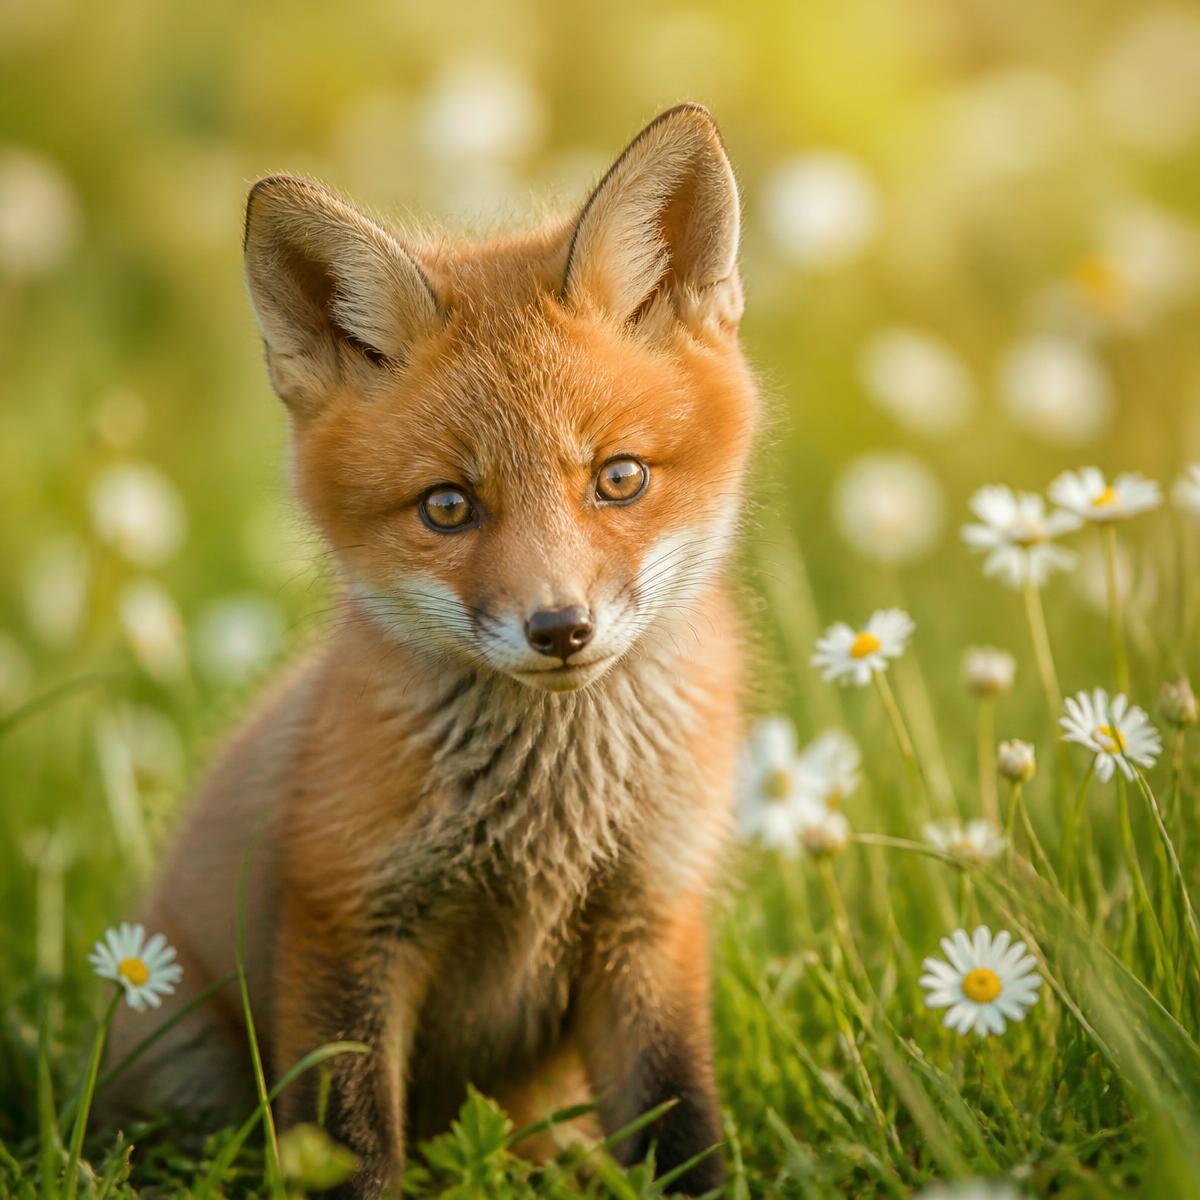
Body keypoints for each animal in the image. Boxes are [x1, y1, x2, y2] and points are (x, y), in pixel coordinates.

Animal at [101, 103, 759, 1197]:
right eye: (448, 507)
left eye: (619, 478)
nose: (560, 628)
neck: (546, 825)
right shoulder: (346, 924)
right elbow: (354, 1143)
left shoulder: (647, 921)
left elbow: (682, 1134)